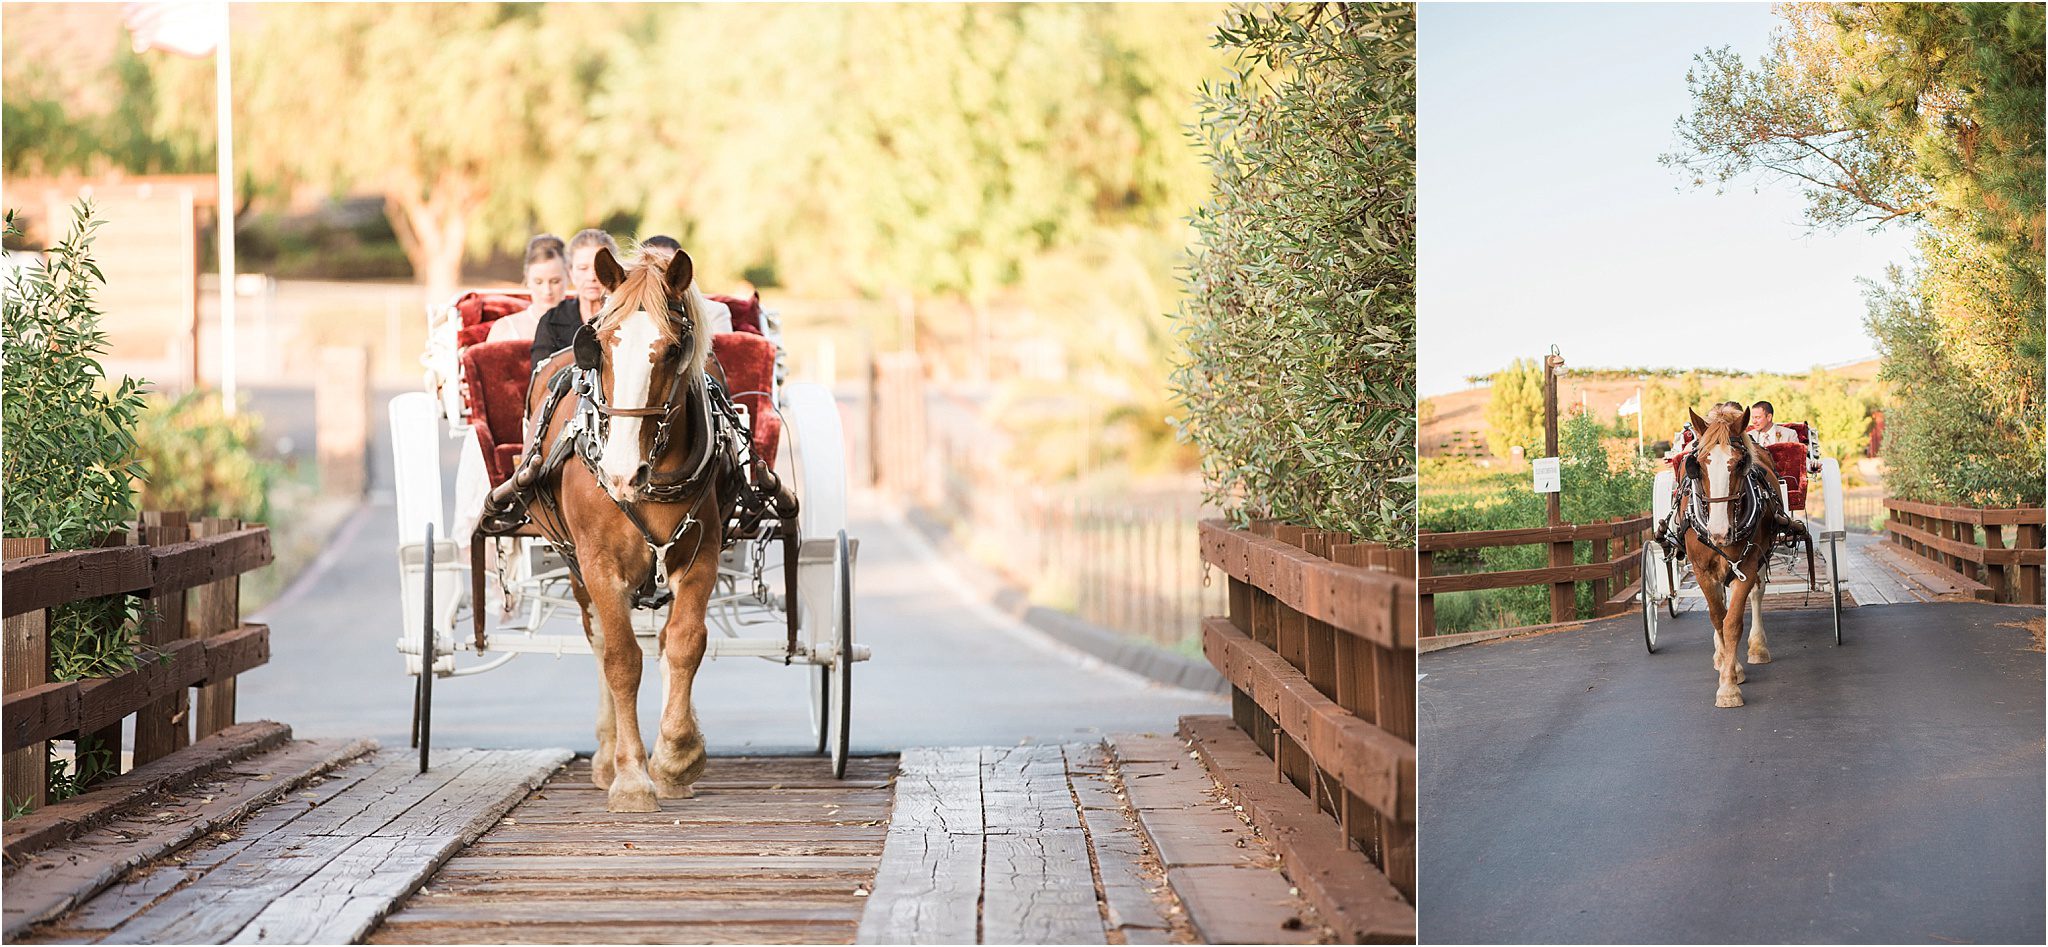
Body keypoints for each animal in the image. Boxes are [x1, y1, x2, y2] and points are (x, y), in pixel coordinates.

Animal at [524, 248, 733, 811]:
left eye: (673, 350)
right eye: (599, 347)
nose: (620, 472)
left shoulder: (700, 556)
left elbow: (684, 642)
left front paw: (678, 755)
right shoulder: (598, 564)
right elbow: (620, 659)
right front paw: (632, 776)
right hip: (574, 566)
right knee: (599, 642)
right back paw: (607, 754)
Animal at [1679, 403, 1794, 705]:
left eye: (1741, 464)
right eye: (1697, 464)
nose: (1719, 532)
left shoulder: (1748, 565)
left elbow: (1732, 622)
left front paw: (1729, 686)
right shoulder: (1702, 570)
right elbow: (1717, 617)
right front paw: (1728, 669)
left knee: (1756, 594)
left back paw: (1756, 649)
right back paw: (1721, 657)